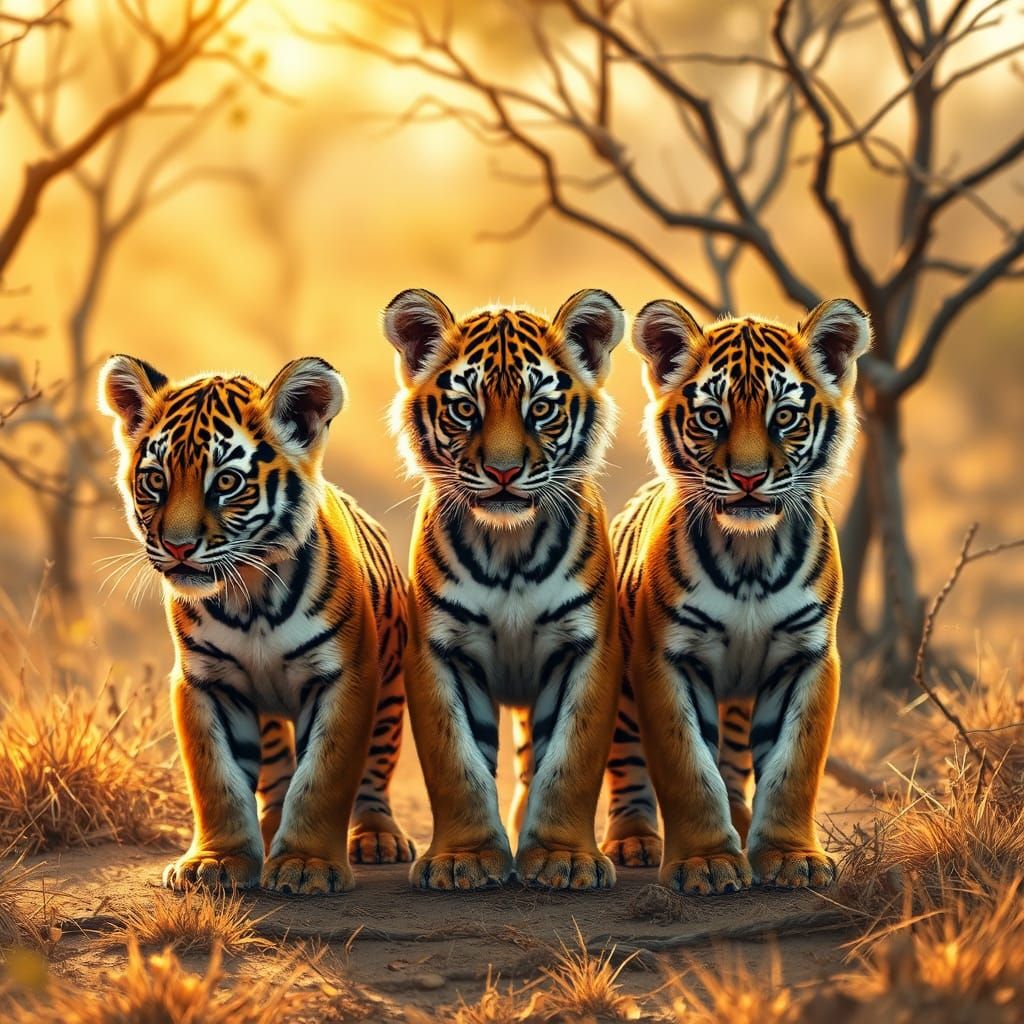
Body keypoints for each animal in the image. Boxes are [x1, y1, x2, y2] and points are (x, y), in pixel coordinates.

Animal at [98, 354, 413, 894]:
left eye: (226, 483)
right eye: (156, 480)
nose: (178, 547)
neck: (249, 597)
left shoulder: (343, 677)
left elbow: (322, 776)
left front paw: (307, 865)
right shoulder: (205, 681)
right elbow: (217, 780)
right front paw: (214, 862)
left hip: (390, 688)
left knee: (376, 767)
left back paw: (377, 836)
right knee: (277, 771)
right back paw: (269, 827)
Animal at [384, 288, 625, 891]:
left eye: (540, 408)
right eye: (465, 408)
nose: (503, 472)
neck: (509, 547)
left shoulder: (587, 647)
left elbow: (568, 760)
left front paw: (565, 859)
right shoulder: (439, 651)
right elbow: (457, 763)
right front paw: (463, 860)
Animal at [600, 297, 871, 894]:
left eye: (785, 417)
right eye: (711, 417)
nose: (748, 479)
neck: (751, 557)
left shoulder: (805, 656)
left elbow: (792, 766)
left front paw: (792, 857)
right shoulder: (667, 659)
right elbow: (688, 767)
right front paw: (706, 863)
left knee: (735, 760)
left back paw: (744, 824)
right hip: (624, 695)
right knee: (629, 762)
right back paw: (634, 841)